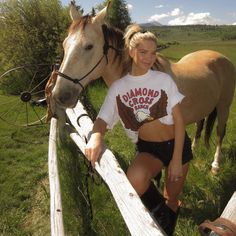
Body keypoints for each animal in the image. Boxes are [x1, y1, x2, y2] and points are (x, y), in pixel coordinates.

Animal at [50, 2, 235, 173]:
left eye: (89, 46)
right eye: (64, 44)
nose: (59, 95)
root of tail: (220, 57)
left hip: (224, 107)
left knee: (220, 133)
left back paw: (215, 165)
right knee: (200, 125)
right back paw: (195, 149)